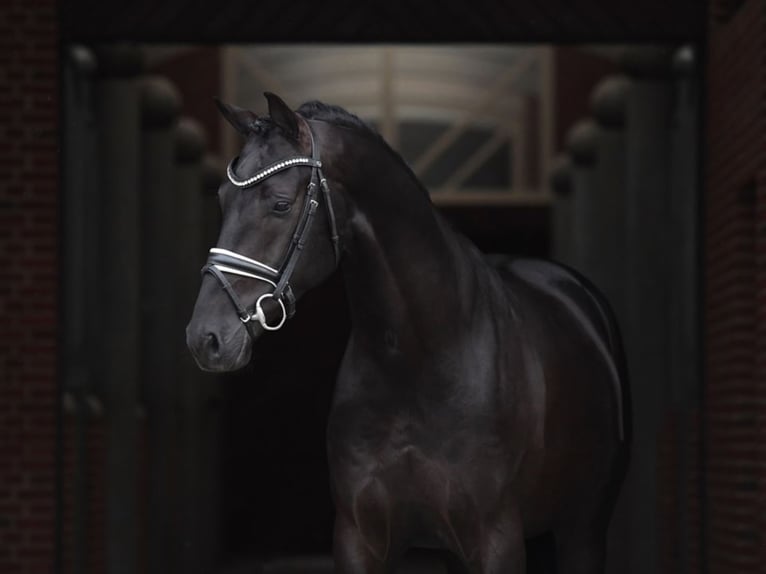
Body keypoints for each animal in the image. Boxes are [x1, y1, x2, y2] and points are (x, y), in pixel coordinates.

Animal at [186, 92, 631, 574]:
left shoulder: (497, 541)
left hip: (582, 530)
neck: (421, 359)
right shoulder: (360, 539)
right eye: (222, 198)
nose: (205, 337)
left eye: (281, 204)